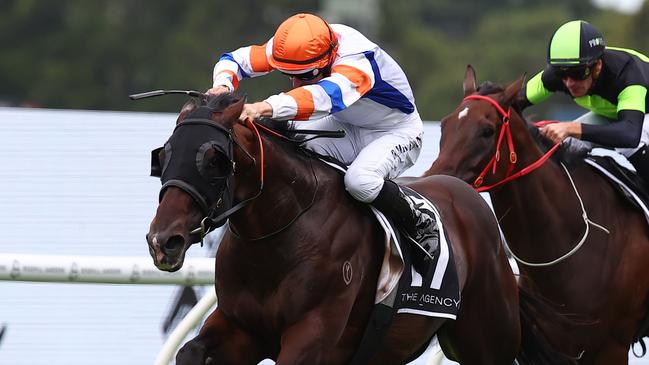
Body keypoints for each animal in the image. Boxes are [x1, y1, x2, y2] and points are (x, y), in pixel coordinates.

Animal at [146, 91, 568, 364]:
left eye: (214, 159)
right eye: (163, 156)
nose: (162, 241)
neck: (280, 233)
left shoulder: (312, 336)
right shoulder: (240, 327)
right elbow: (190, 351)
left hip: (488, 339)